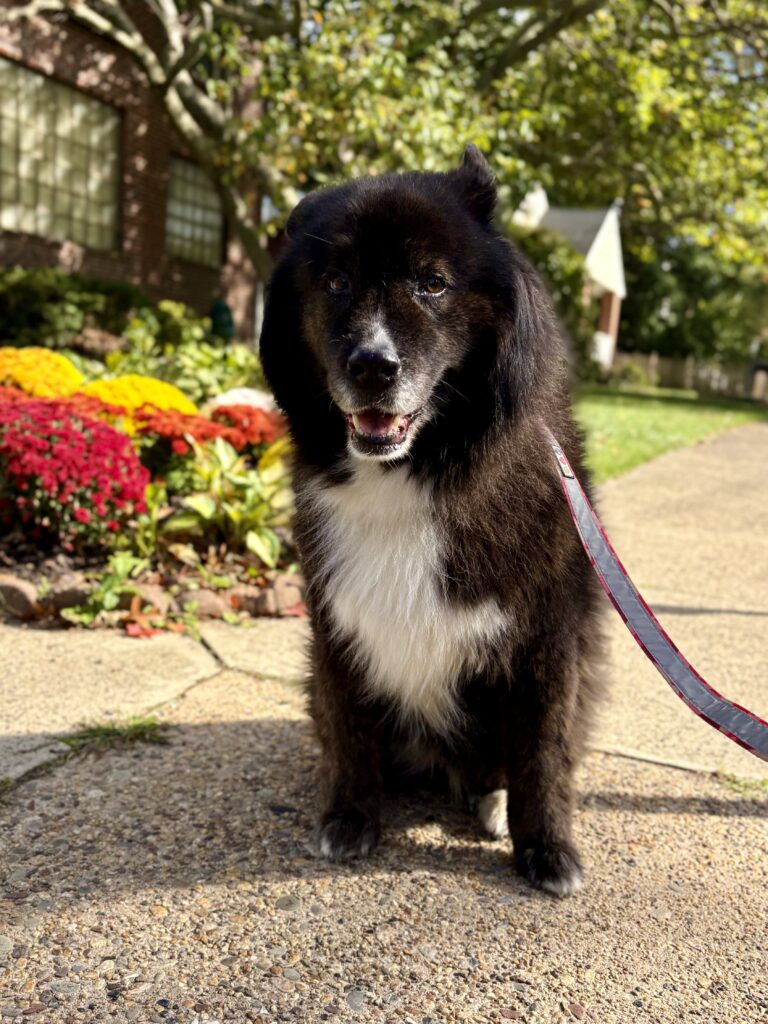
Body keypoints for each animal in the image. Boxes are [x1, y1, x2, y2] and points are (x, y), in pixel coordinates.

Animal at [259, 145, 604, 897]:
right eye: (335, 283)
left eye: (433, 283)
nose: (372, 365)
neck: (414, 471)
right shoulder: (337, 628)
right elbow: (351, 733)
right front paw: (351, 814)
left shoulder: (548, 642)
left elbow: (542, 753)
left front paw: (547, 846)